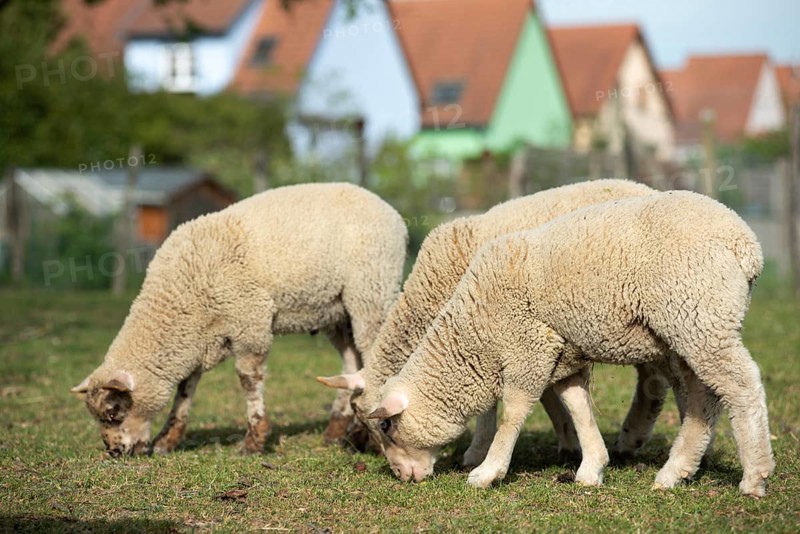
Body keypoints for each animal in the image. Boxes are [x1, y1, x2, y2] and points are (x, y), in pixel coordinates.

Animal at [71, 182, 407, 457]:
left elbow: (248, 380)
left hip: (371, 293)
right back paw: (337, 431)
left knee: (372, 356)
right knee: (351, 362)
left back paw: (361, 435)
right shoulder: (197, 338)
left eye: (113, 411)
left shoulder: (250, 322)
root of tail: (392, 213)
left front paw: (254, 440)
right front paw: (168, 440)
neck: (180, 298)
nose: (114, 452)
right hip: (337, 312)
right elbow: (185, 388)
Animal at [319, 179, 679, 469]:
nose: (360, 449)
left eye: (377, 423)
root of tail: (648, 189)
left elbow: (493, 404)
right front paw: (568, 439)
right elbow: (546, 394)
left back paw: (631, 438)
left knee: (654, 381)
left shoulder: (487, 334)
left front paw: (477, 453)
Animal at [365, 191, 774, 497]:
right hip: (689, 331)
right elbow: (579, 409)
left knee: (740, 389)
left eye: (386, 426)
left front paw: (487, 470)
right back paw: (676, 471)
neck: (473, 331)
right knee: (702, 400)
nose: (402, 476)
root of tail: (746, 243)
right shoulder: (564, 359)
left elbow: (511, 413)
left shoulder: (528, 349)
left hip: (700, 320)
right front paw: (592, 468)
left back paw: (754, 476)